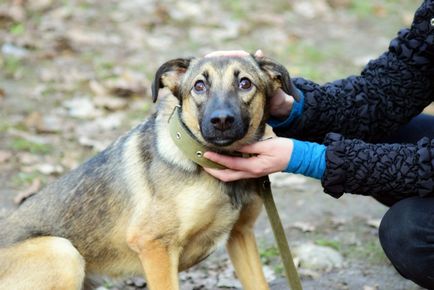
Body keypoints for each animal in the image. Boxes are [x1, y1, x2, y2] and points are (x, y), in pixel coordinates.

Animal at [0, 54, 298, 290]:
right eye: (199, 86)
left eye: (245, 83)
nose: (222, 120)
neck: (213, 166)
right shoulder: (155, 246)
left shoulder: (241, 234)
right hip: (62, 253)